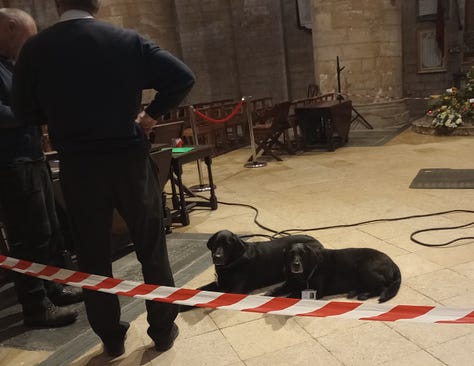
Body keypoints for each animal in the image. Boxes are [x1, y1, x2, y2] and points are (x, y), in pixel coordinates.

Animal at [180, 230, 324, 310]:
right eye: (215, 244)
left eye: (227, 245)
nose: (217, 257)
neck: (233, 261)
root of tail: (317, 241)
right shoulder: (220, 282)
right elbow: (199, 289)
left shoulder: (234, 290)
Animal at [270, 242, 400, 302]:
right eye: (291, 253)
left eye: (303, 254)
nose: (296, 265)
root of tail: (392, 262)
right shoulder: (289, 283)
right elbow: (276, 290)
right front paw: (268, 295)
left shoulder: (317, 291)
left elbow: (291, 295)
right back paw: (353, 292)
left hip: (365, 268)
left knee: (382, 287)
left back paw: (364, 295)